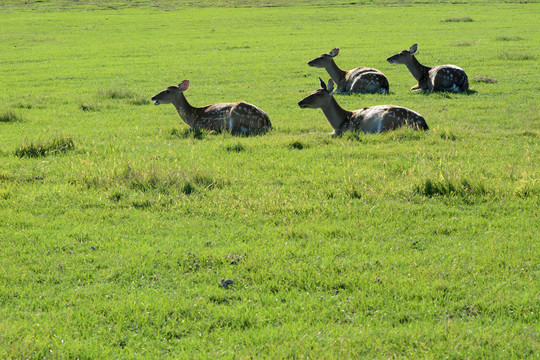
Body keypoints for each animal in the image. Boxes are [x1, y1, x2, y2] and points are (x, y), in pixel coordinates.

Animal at [298, 77, 428, 135]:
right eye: (312, 91)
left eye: (319, 94)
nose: (300, 101)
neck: (338, 124)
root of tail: (424, 125)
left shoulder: (346, 130)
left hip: (386, 122)